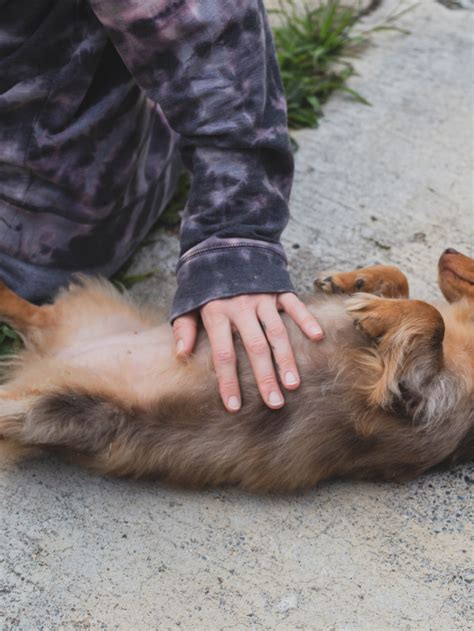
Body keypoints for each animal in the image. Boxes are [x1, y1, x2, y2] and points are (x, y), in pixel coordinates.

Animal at [0, 248, 472, 494]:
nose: (447, 250)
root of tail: (50, 357)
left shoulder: (425, 402)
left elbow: (429, 316)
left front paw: (373, 310)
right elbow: (407, 286)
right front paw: (357, 284)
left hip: (54, 408)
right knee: (25, 309)